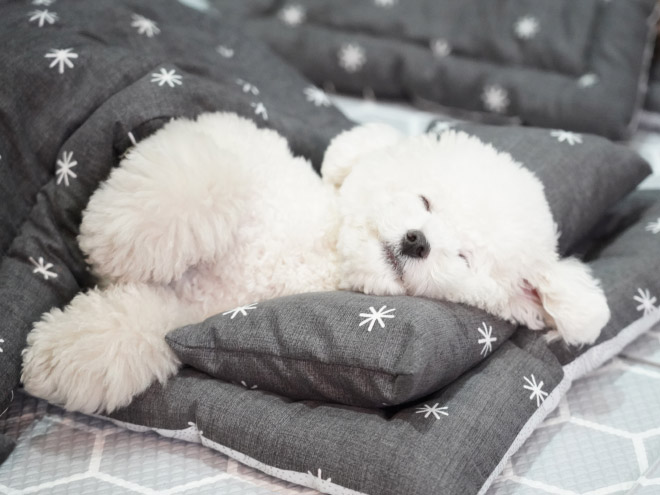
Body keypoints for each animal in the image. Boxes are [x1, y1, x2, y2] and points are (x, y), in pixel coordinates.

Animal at [20, 112, 608, 414]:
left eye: (464, 257)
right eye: (425, 201)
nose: (417, 241)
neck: (323, 253)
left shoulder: (191, 313)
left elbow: (134, 328)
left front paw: (60, 359)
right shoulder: (246, 155)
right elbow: (202, 171)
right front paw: (119, 235)